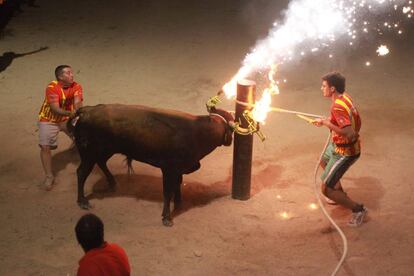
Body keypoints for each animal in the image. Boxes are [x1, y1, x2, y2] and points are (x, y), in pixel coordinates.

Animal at [68, 103, 233, 226]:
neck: (197, 132)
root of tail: (86, 110)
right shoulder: (169, 169)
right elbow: (168, 191)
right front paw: (167, 217)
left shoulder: (178, 169)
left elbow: (177, 184)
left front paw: (178, 202)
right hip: (89, 154)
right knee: (81, 172)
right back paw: (83, 201)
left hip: (105, 150)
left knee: (101, 162)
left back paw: (112, 183)